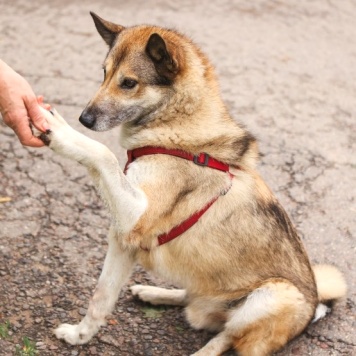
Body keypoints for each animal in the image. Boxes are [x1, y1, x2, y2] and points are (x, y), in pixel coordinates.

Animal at [34, 11, 346, 356]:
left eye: (128, 83)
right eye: (104, 73)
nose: (84, 120)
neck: (177, 126)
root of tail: (315, 307)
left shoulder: (135, 218)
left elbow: (103, 154)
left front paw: (61, 131)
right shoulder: (122, 241)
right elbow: (100, 300)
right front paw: (80, 336)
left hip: (272, 296)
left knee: (225, 337)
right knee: (192, 300)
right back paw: (155, 293)